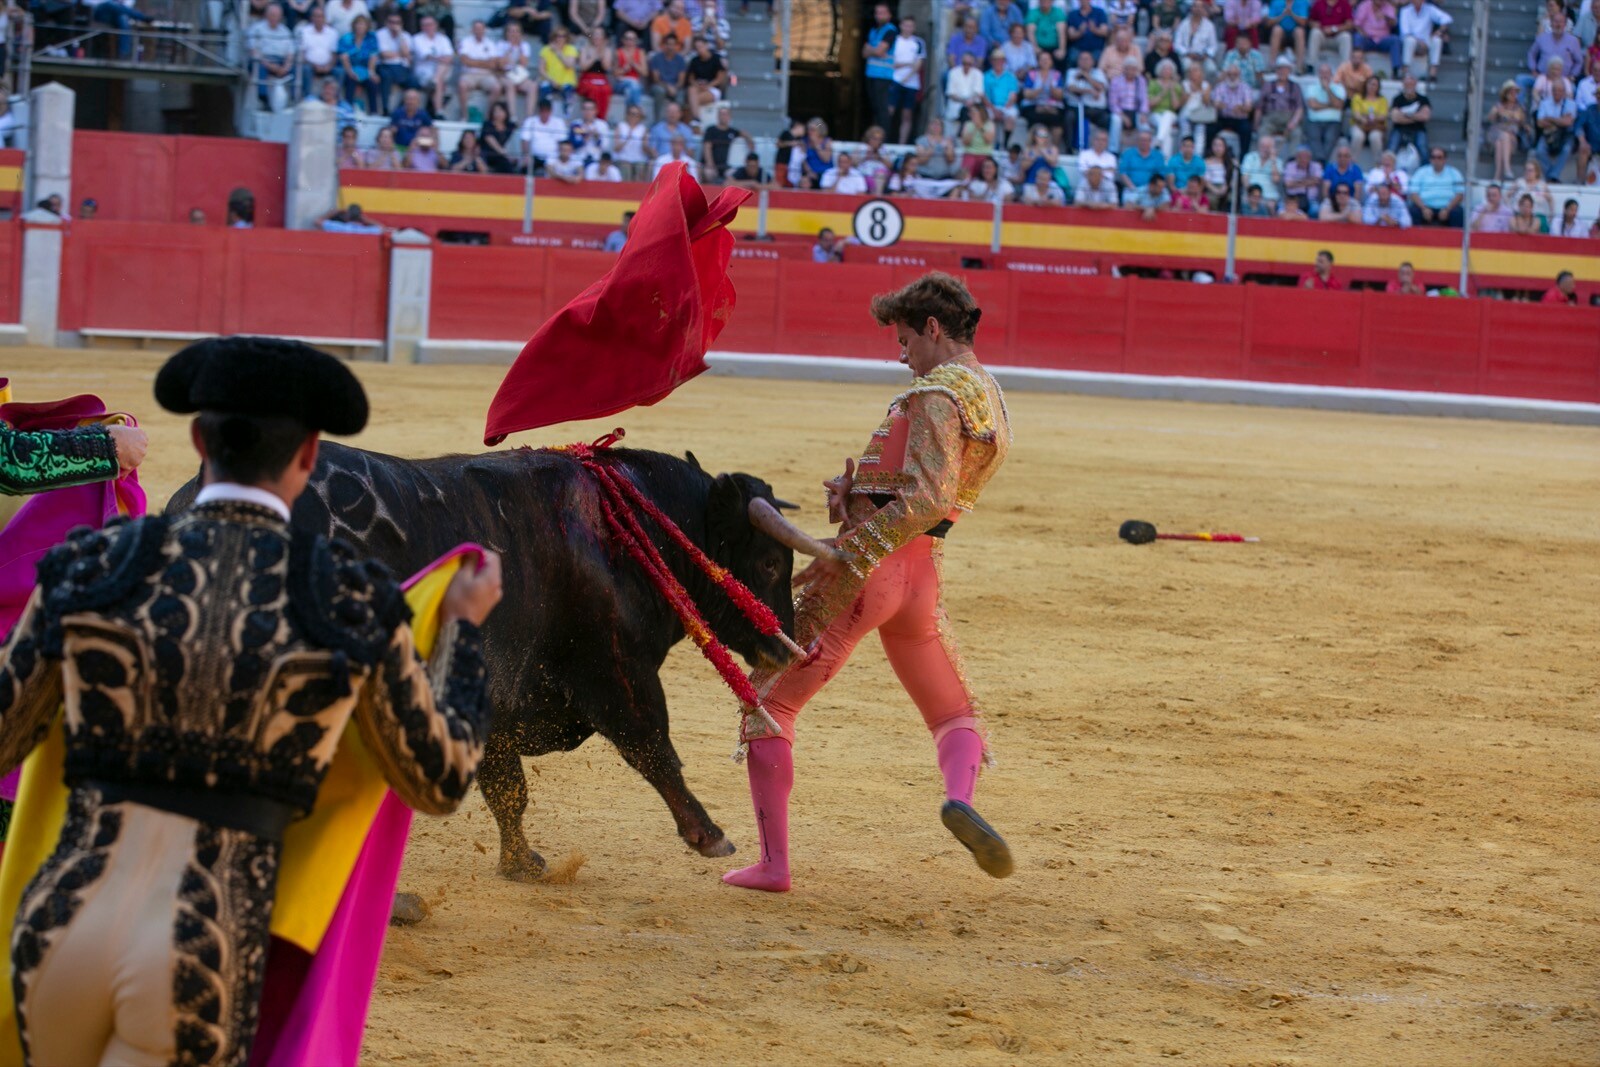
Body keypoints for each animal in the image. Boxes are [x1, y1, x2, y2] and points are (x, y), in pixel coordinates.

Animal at [167, 438, 800, 883]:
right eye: (769, 561)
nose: (791, 646)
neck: (628, 532)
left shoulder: (495, 699)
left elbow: (507, 788)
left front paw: (521, 862)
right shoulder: (618, 671)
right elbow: (653, 747)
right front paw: (709, 835)